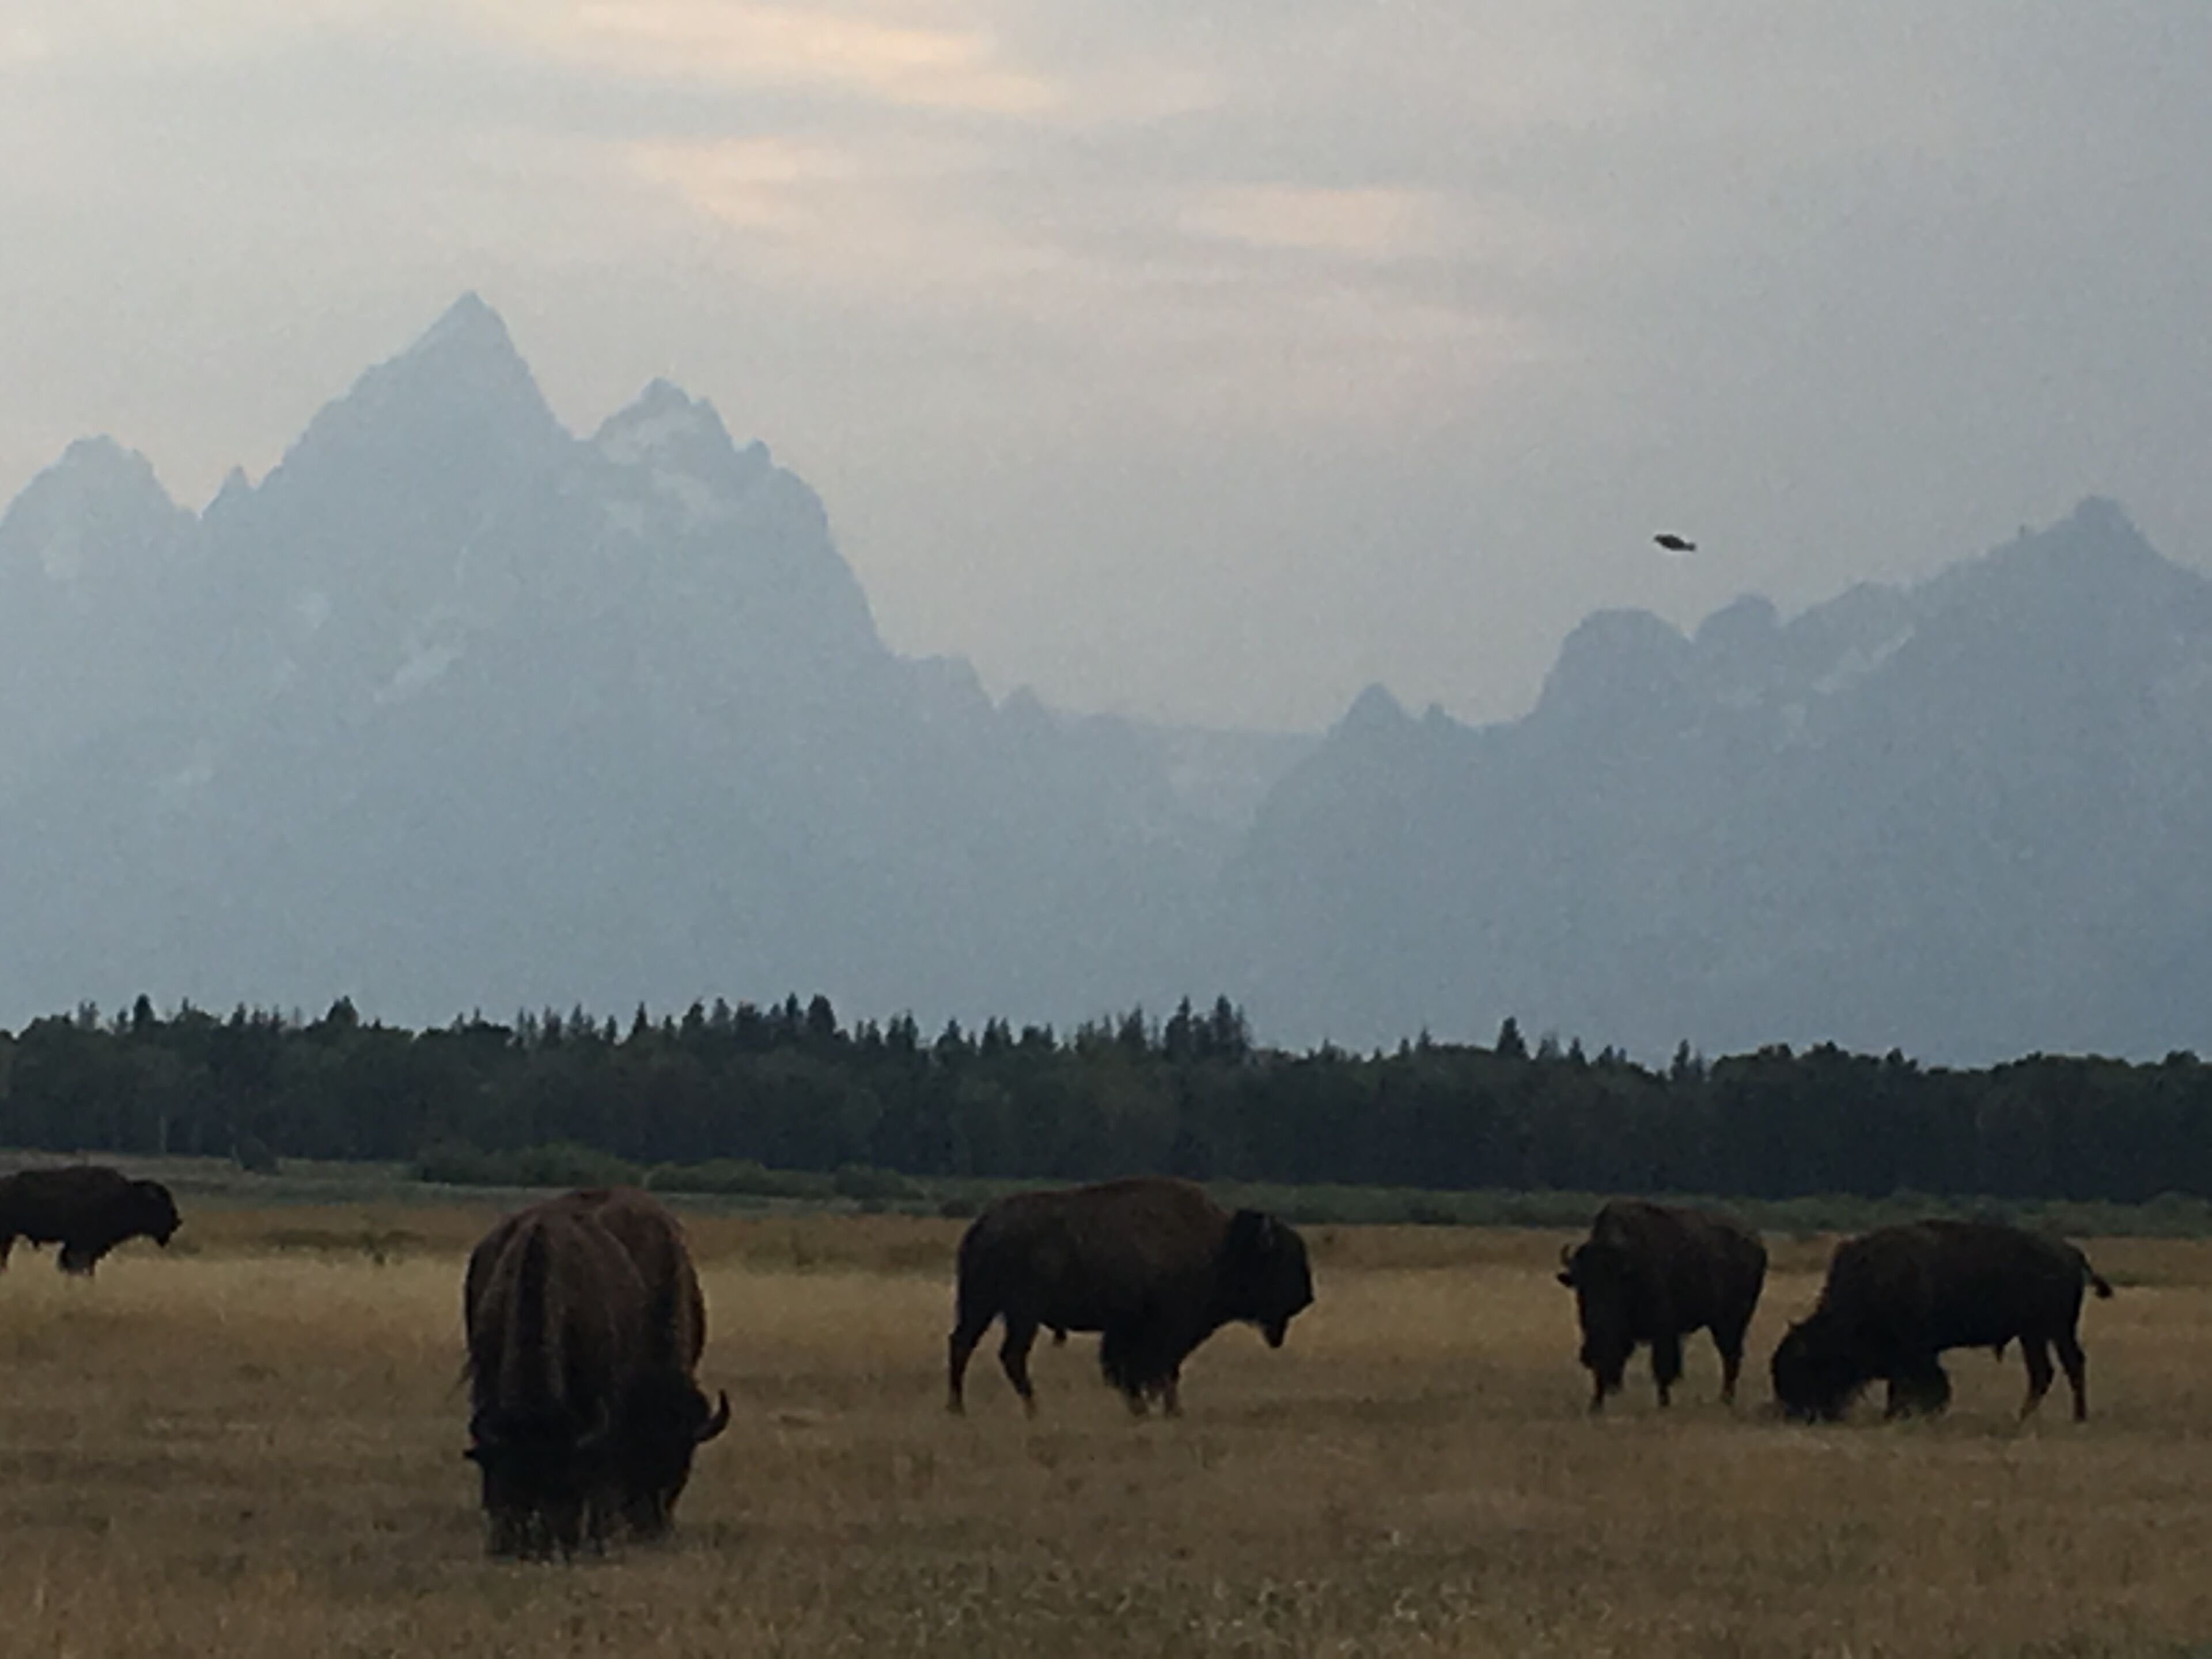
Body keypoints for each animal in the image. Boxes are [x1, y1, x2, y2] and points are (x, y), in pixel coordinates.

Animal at [946, 1176, 1314, 1418]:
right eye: (1280, 1261)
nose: (1306, 1297)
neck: (1219, 1248)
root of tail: (983, 1225)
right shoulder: (1163, 1328)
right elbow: (1159, 1369)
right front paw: (1165, 1409)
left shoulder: (1128, 1329)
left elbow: (1137, 1369)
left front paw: (1148, 1407)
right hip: (1022, 1313)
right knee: (1011, 1355)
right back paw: (1033, 1408)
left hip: (980, 1306)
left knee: (963, 1344)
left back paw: (959, 1408)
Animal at [1556, 1199, 1767, 1412]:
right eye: (1582, 1288)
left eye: (1614, 1287)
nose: (1595, 1320)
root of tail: (1757, 1243)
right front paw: (1595, 1406)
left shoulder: (1663, 1332)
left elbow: (1661, 1369)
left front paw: (1663, 1405)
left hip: (1731, 1323)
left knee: (1730, 1356)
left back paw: (1726, 1399)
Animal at [1771, 1218, 2115, 1423]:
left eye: (1805, 1367)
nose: (1795, 1411)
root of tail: (2070, 1252)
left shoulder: (1915, 1353)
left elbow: (1922, 1384)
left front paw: (1907, 1413)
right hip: (2034, 1334)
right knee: (2043, 1372)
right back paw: (2022, 1417)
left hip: (2057, 1329)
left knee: (2072, 1365)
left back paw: (2077, 1418)